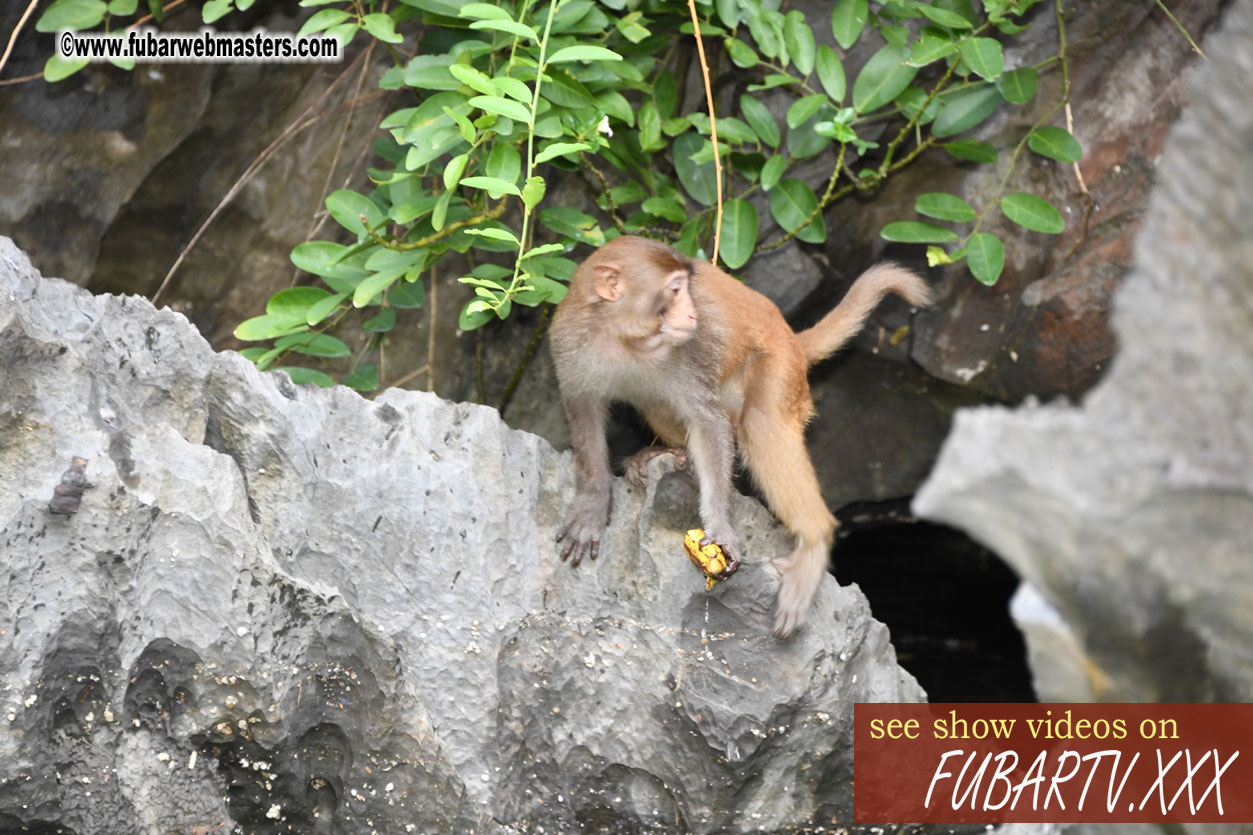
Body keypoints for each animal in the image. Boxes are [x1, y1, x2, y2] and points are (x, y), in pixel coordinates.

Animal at [548, 230, 932, 634]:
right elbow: (583, 411)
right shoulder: (567, 343)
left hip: (780, 366)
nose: (692, 314)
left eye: (685, 288)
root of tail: (790, 334)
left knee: (759, 423)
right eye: (674, 290)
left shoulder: (689, 352)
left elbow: (708, 423)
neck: (625, 337)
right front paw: (592, 504)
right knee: (656, 400)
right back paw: (668, 452)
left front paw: (720, 526)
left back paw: (814, 540)